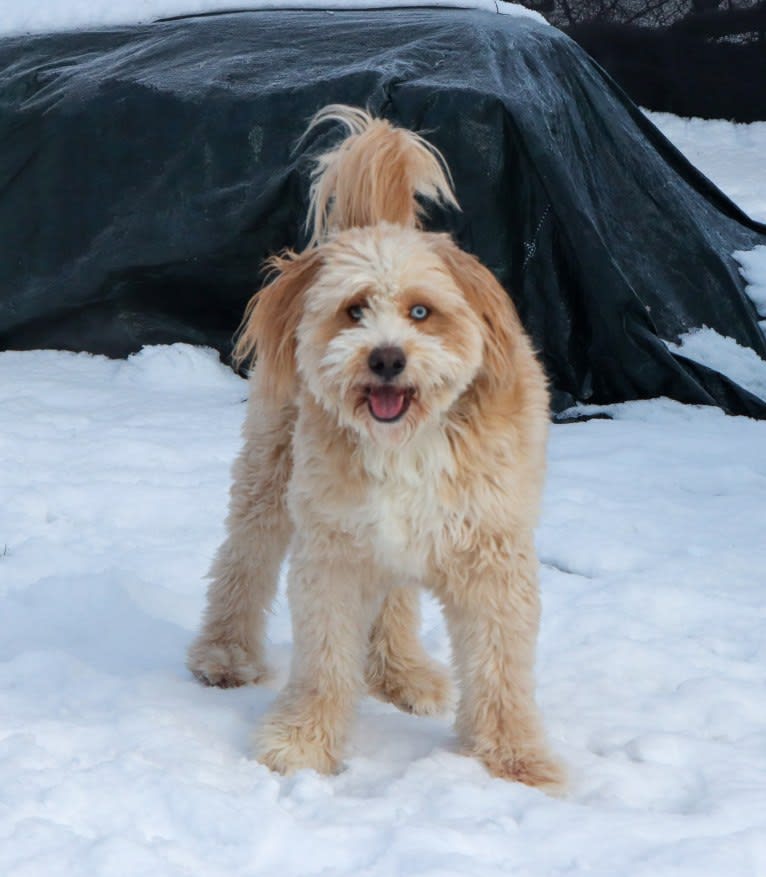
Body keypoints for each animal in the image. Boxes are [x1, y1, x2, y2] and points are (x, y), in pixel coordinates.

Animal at [189, 106, 568, 792]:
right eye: (354, 310)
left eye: (421, 311)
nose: (386, 358)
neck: (407, 442)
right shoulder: (333, 552)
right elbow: (323, 661)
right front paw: (303, 743)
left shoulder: (491, 557)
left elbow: (500, 670)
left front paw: (514, 762)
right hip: (272, 473)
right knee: (243, 559)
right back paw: (225, 653)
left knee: (391, 599)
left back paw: (400, 674)